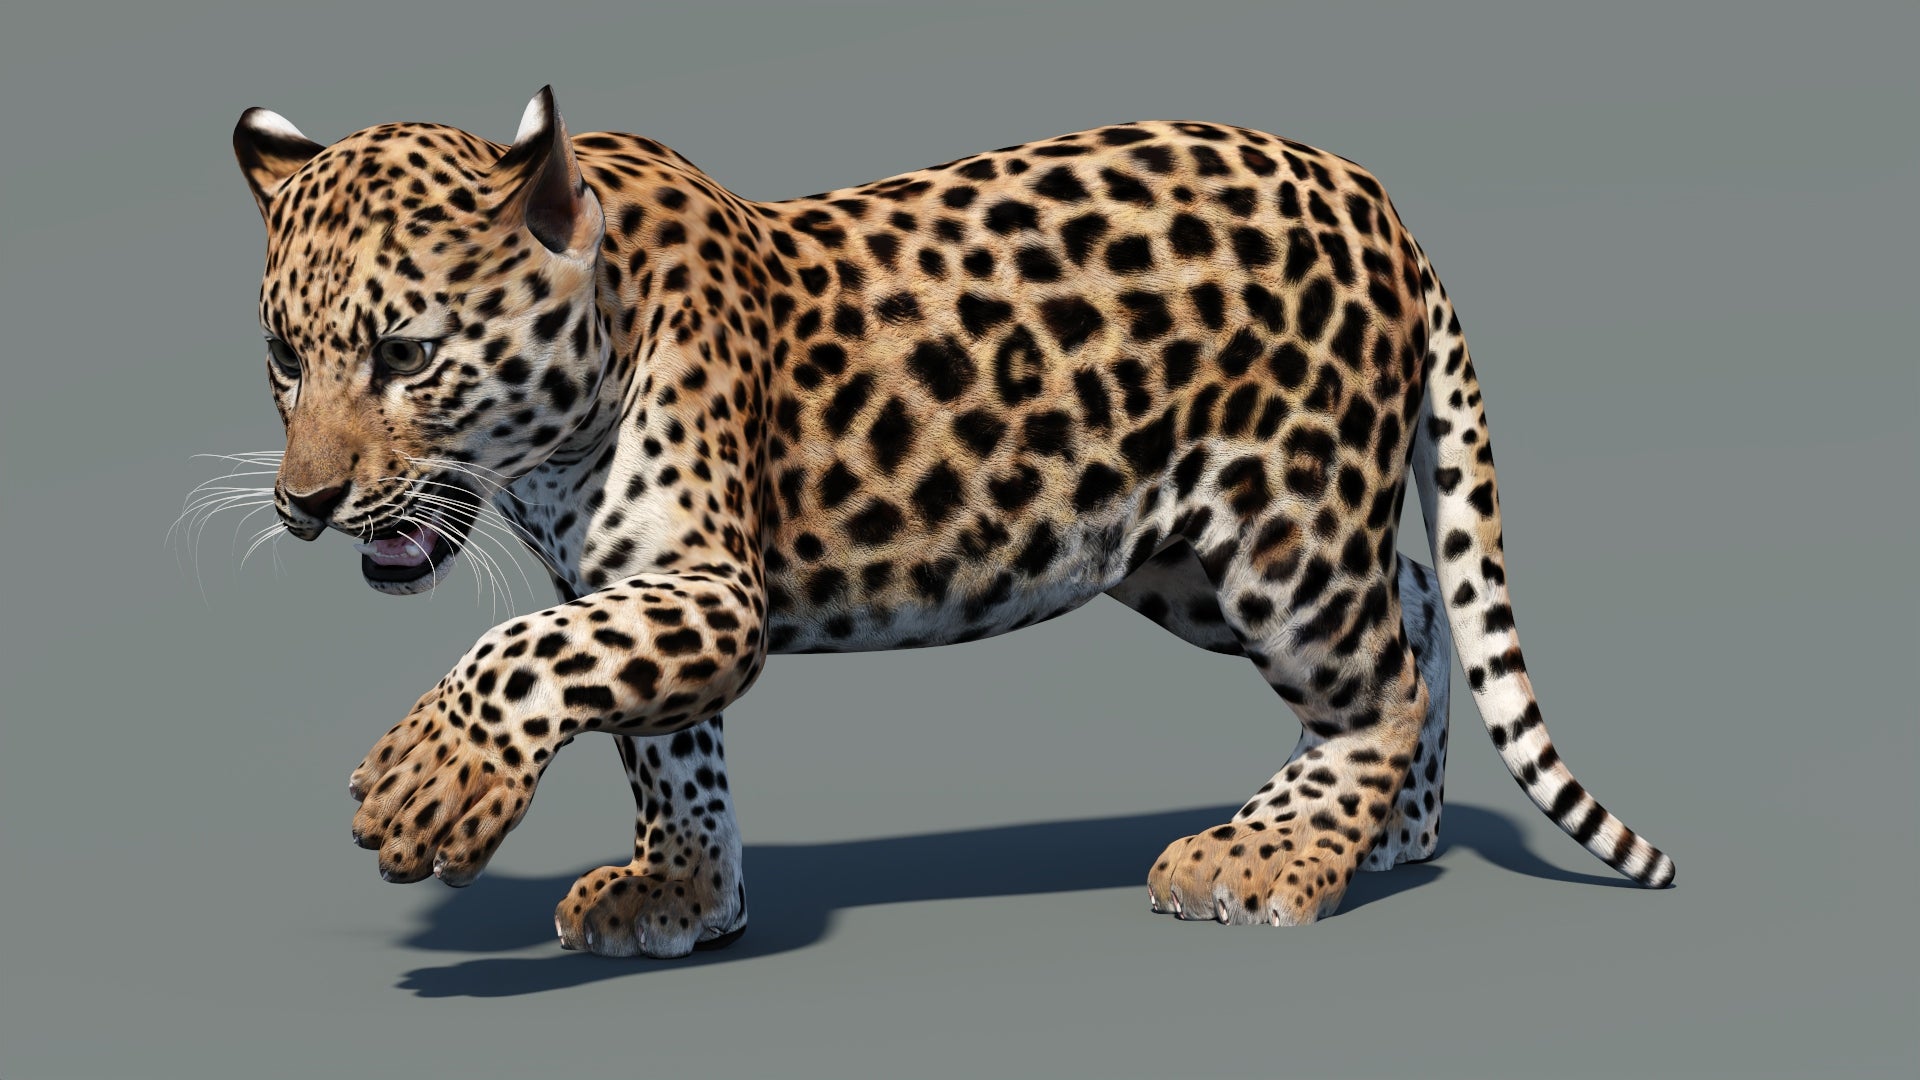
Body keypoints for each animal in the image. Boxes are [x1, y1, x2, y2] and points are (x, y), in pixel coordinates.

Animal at [221, 86, 1674, 958]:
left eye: (407, 354)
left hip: (1281, 530)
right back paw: (1393, 834)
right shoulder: (631, 581)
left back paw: (1272, 857)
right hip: (1185, 554)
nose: (306, 503)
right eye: (285, 359)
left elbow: (525, 652)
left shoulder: (705, 588)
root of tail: (1378, 199)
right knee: (1420, 607)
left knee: (1384, 675)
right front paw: (677, 890)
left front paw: (426, 787)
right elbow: (663, 745)